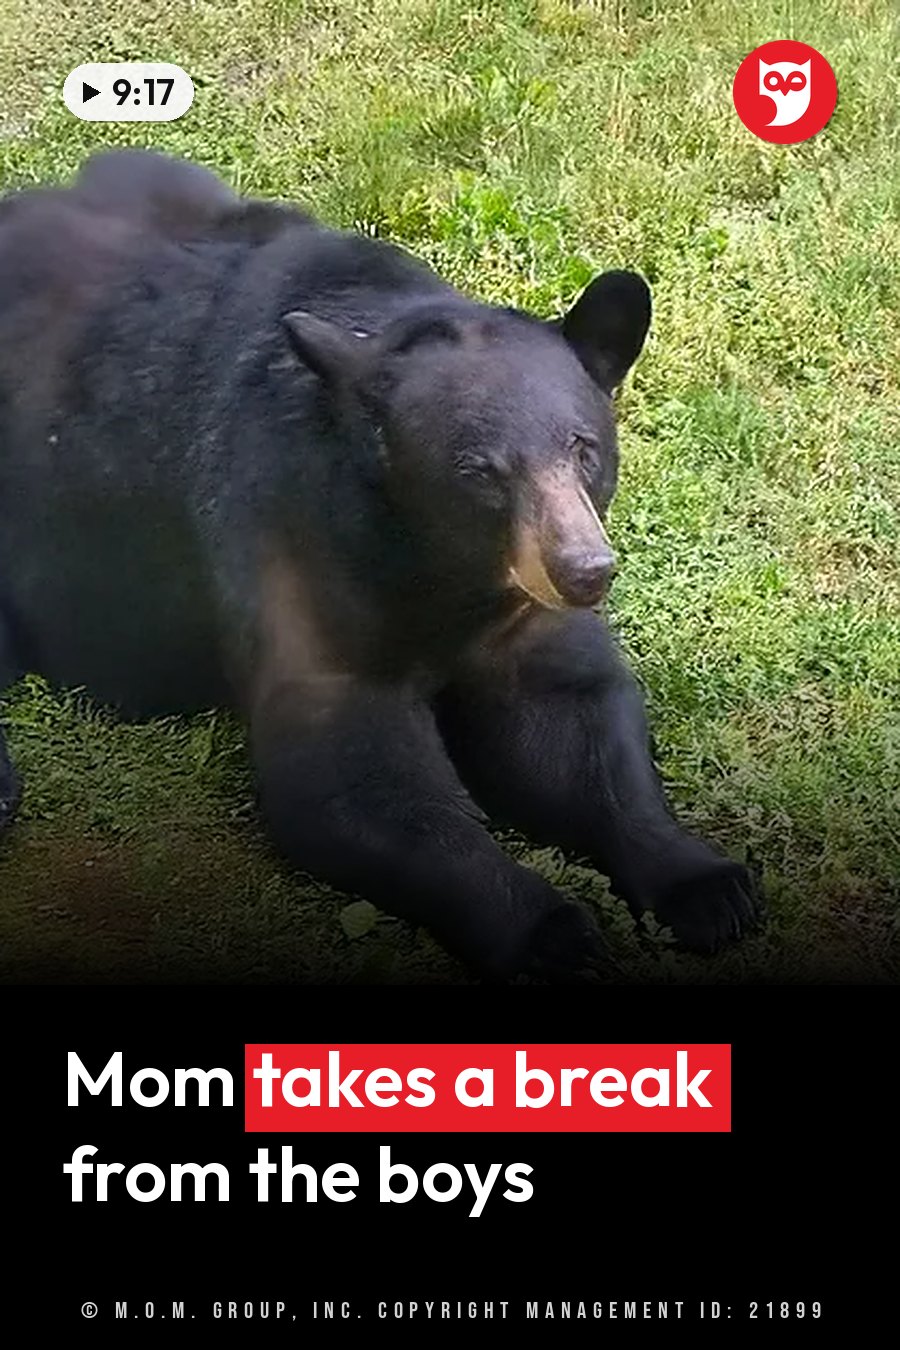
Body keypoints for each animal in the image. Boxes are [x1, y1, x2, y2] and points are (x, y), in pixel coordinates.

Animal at [0, 150, 761, 980]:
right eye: (478, 471)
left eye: (582, 447)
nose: (584, 570)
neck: (445, 569)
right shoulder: (299, 543)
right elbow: (354, 772)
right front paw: (553, 936)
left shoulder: (524, 613)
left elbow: (572, 721)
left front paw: (707, 885)